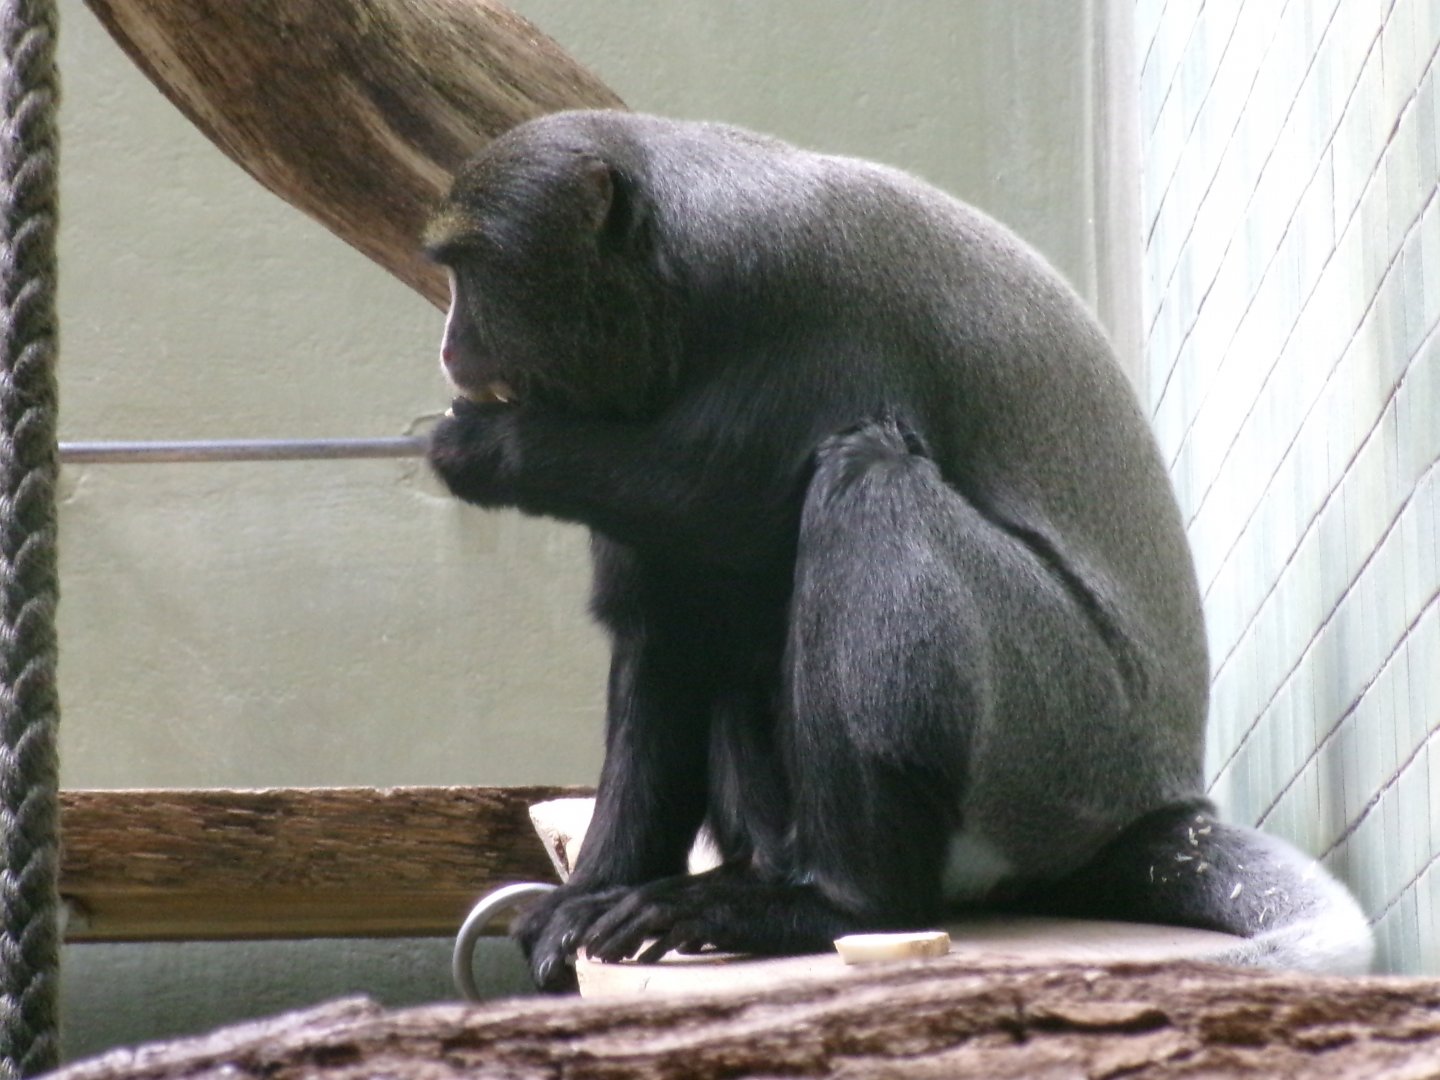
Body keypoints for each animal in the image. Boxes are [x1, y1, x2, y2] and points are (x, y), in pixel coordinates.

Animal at [422, 110, 1374, 992]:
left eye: (471, 273)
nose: (449, 347)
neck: (676, 270)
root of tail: (1153, 804)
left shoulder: (816, 318)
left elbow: (714, 496)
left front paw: (488, 448)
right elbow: (665, 634)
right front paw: (585, 898)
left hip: (1055, 741)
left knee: (870, 482)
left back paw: (833, 904)